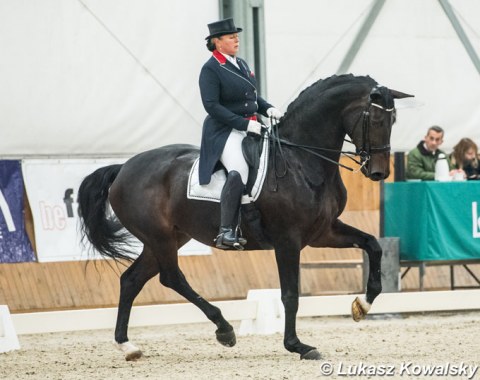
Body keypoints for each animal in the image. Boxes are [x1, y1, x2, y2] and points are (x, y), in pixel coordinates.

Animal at [78, 74, 412, 362]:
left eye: (394, 120)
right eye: (377, 120)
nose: (379, 172)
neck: (302, 161)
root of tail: (123, 167)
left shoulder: (323, 233)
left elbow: (373, 245)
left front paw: (362, 305)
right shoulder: (287, 239)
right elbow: (290, 294)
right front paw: (297, 345)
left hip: (169, 237)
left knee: (132, 280)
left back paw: (128, 345)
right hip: (159, 238)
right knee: (171, 277)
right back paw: (224, 329)